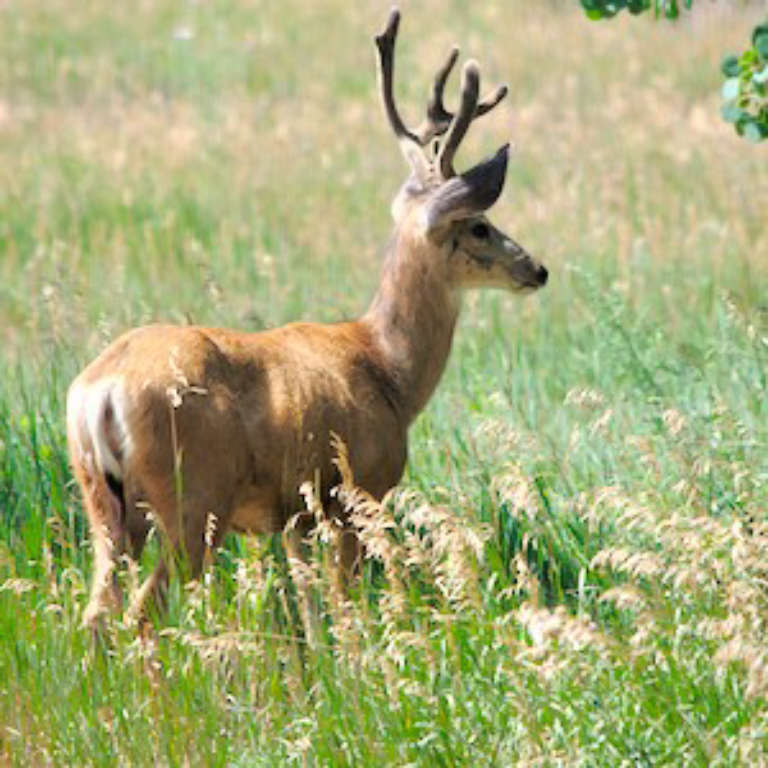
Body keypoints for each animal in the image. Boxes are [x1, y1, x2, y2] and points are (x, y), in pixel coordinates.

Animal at [64, 7, 544, 636]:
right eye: (481, 226)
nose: (536, 268)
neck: (388, 368)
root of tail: (99, 390)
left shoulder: (294, 517)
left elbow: (313, 610)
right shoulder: (358, 491)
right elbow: (344, 602)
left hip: (104, 502)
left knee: (96, 611)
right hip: (192, 497)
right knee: (145, 612)